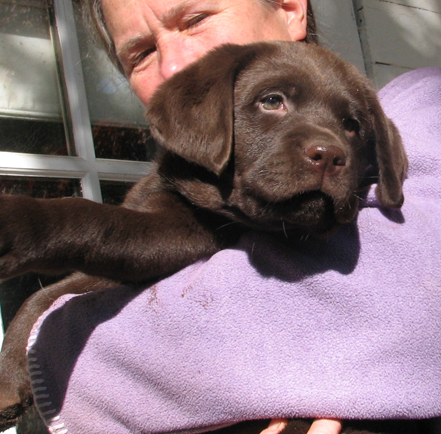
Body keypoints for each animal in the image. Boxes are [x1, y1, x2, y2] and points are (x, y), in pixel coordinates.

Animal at [0, 41, 409, 432]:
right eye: (271, 100)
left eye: (352, 125)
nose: (330, 155)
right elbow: (49, 293)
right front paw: (11, 374)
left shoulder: (174, 234)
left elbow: (95, 219)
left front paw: (18, 222)